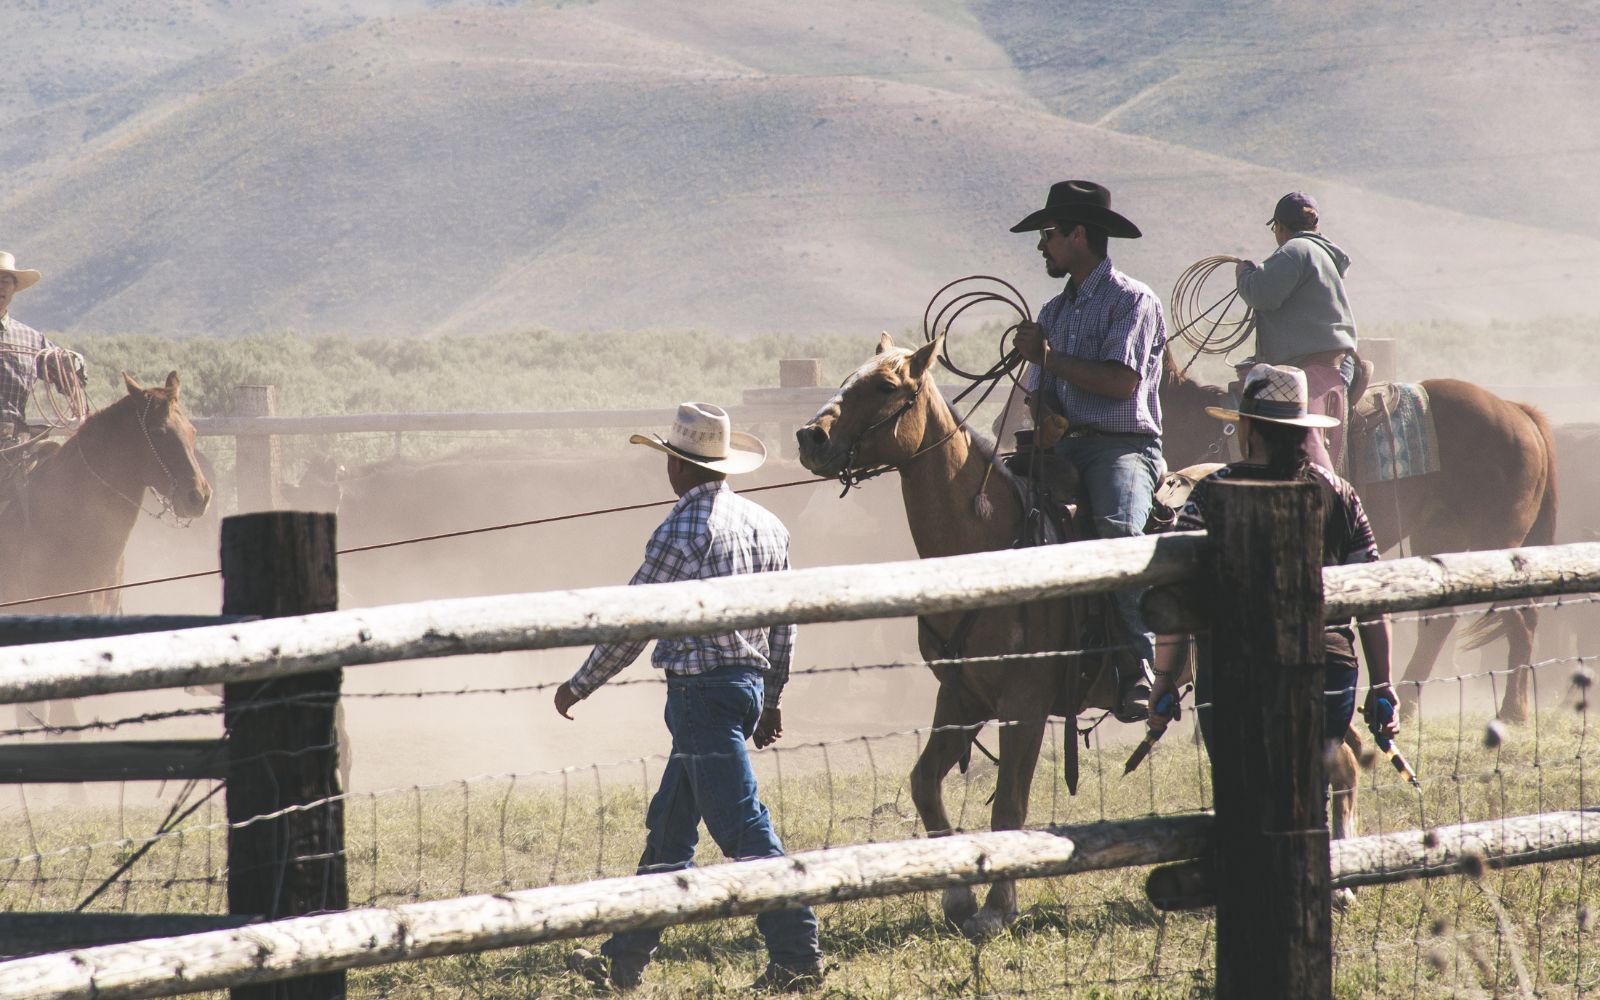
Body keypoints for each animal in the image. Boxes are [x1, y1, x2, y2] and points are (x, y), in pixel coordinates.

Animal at [1158, 350, 1555, 716]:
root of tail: (1518, 411)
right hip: (1441, 535)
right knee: (1440, 624)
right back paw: (1407, 702)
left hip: (1497, 541)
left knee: (1522, 619)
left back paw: (1513, 710)